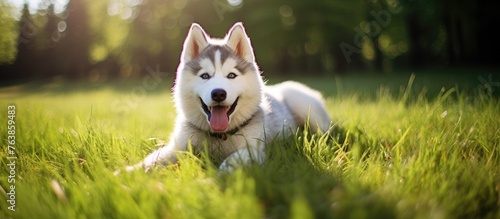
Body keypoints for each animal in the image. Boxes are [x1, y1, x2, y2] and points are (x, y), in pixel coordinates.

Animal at [123, 22, 332, 173]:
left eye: (231, 75)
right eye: (205, 76)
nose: (218, 93)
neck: (219, 137)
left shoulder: (254, 150)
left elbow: (231, 161)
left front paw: (216, 177)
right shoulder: (178, 147)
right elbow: (153, 159)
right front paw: (127, 172)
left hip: (305, 105)